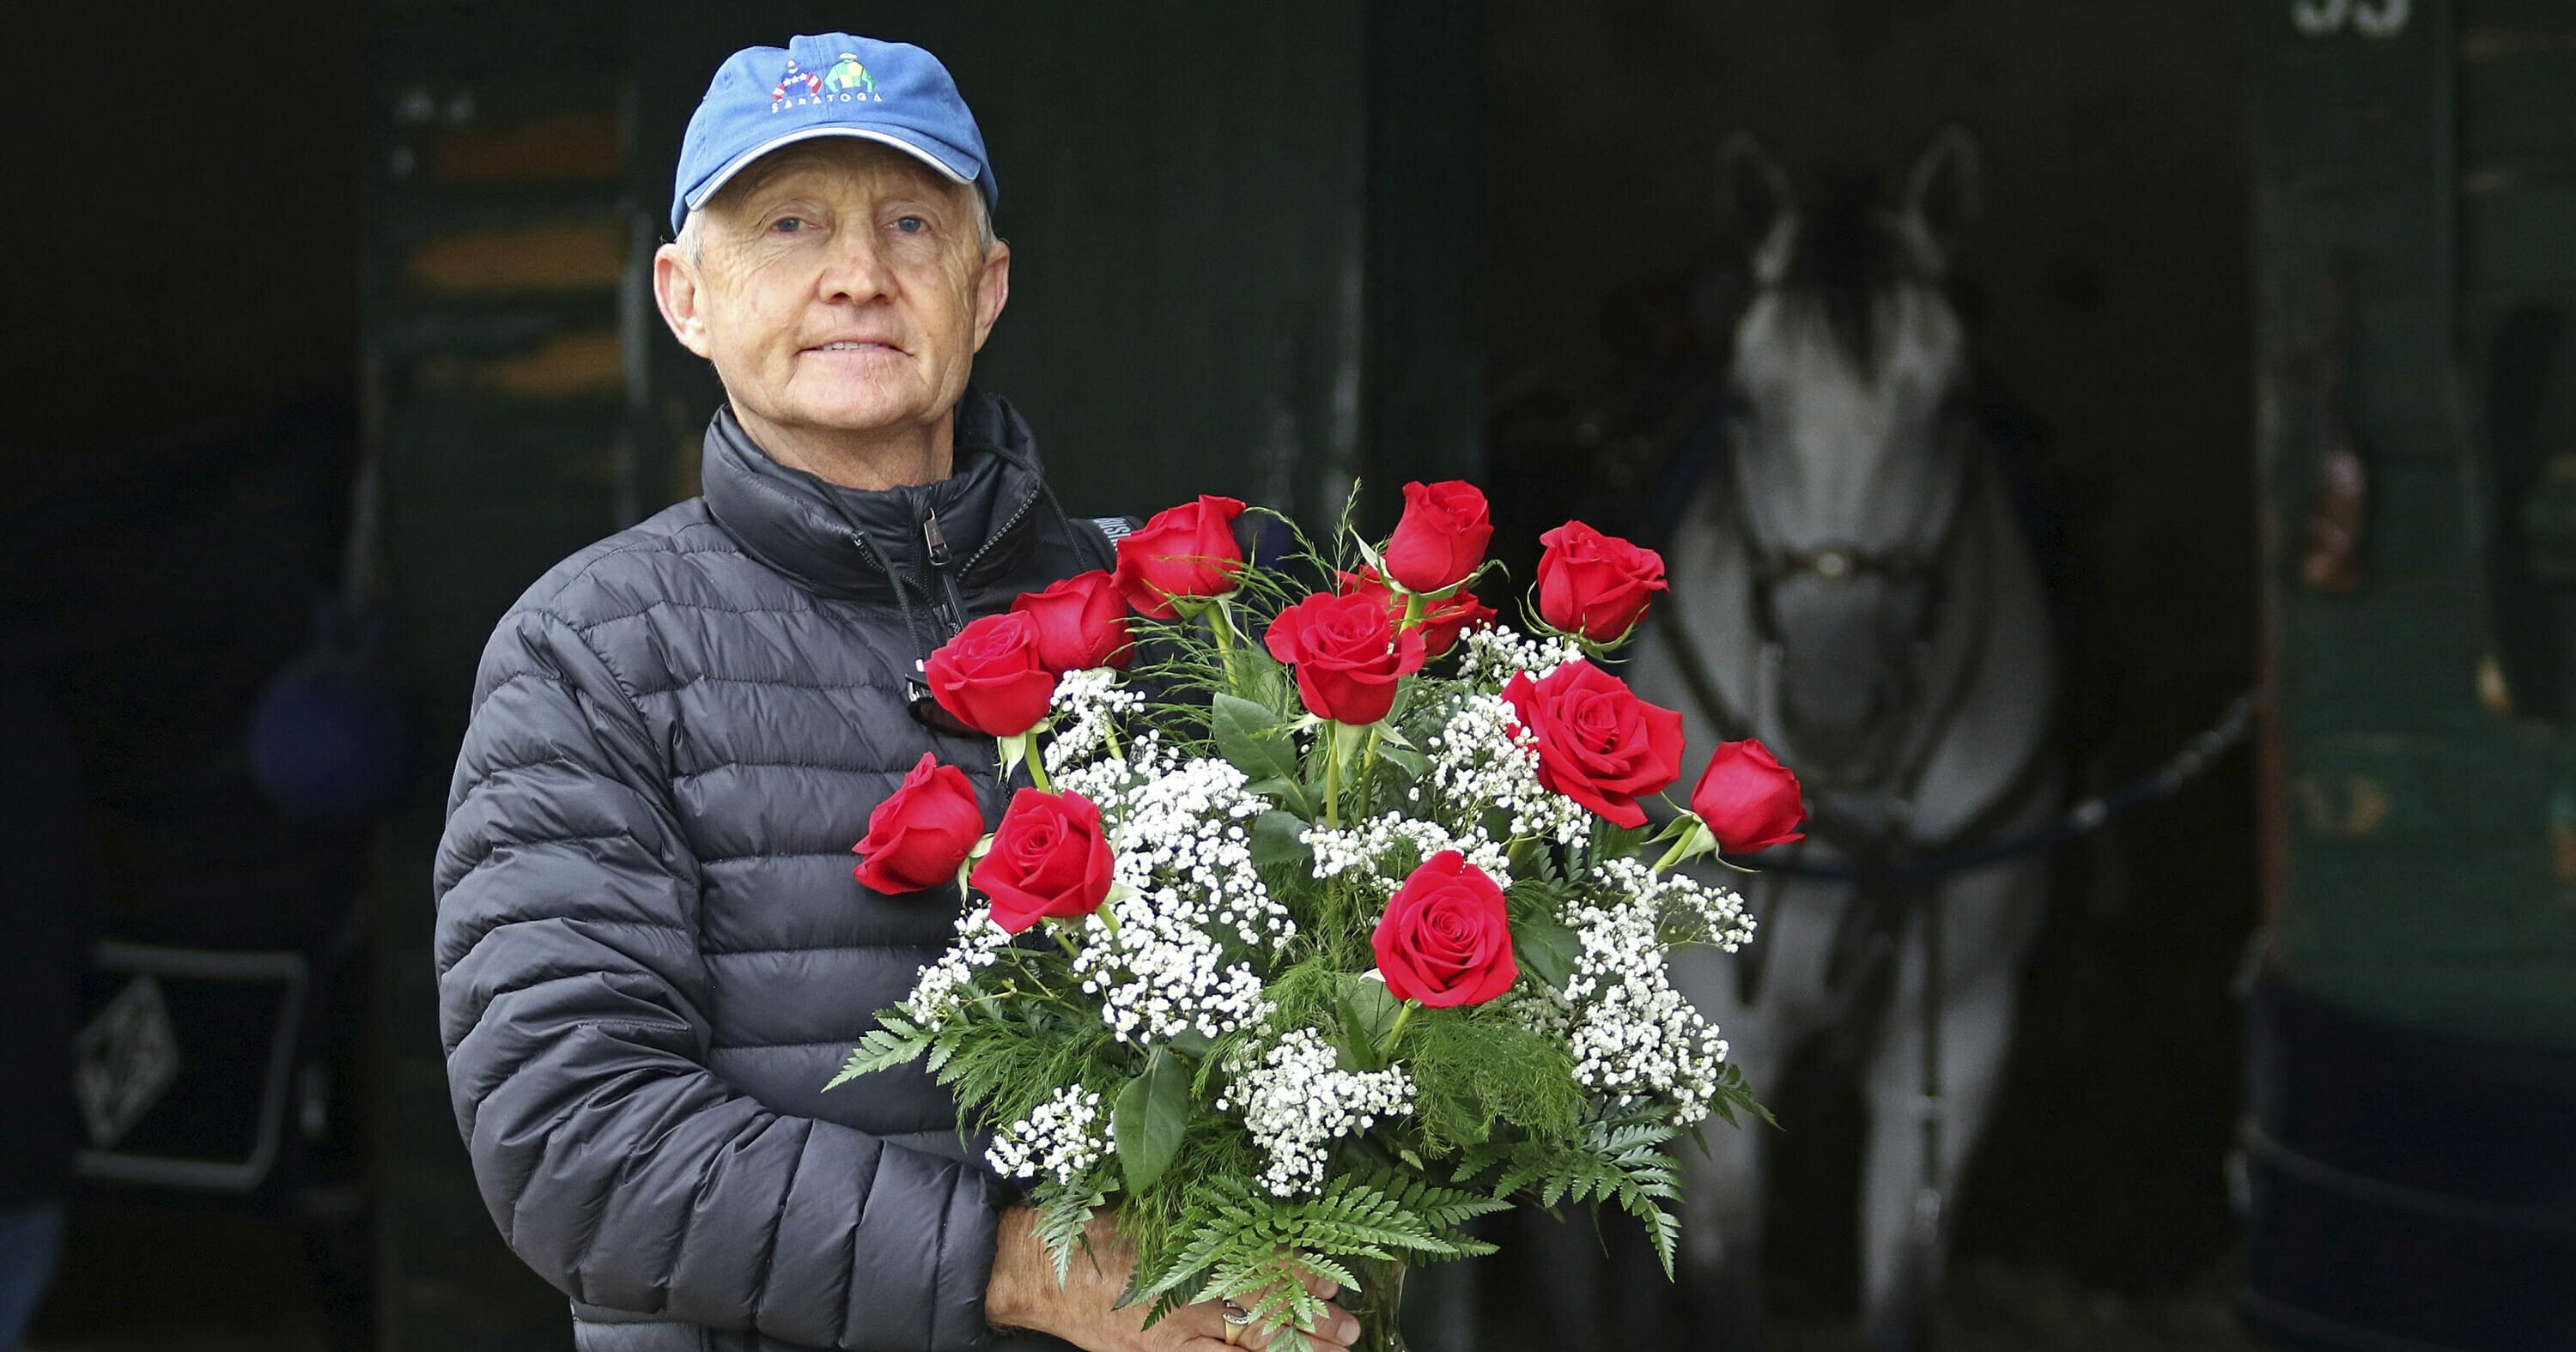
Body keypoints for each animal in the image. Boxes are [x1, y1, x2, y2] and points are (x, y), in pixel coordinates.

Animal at [1607, 129, 2071, 1349]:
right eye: (1747, 405)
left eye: (1949, 407)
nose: (1831, 706)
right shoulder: (1715, 1016)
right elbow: (1719, 1276)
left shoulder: (1957, 1032)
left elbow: (1903, 1287)